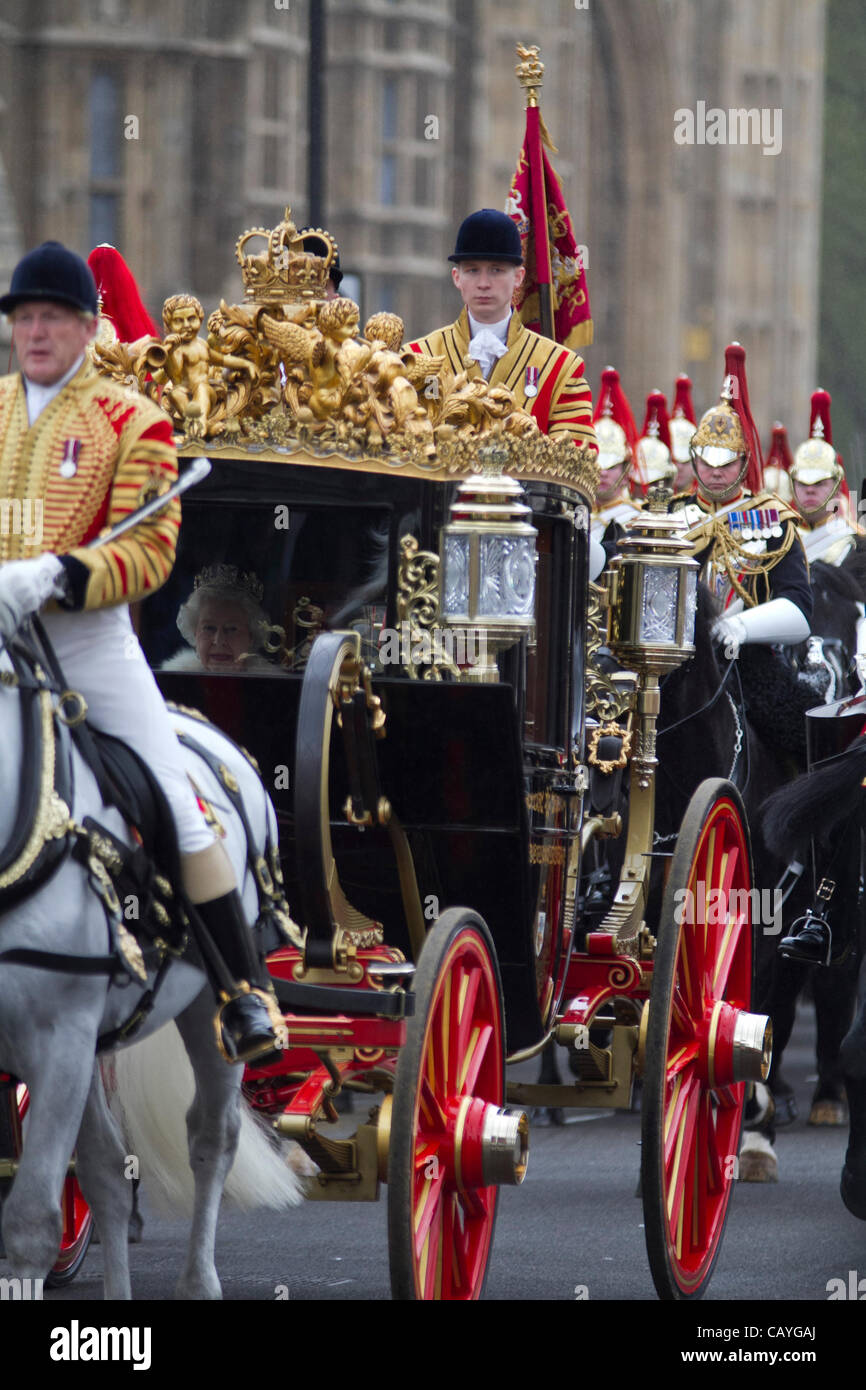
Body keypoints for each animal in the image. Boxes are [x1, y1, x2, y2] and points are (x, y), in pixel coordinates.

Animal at [0, 642, 301, 1301]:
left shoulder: (58, 1037)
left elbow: (30, 1223)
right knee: (108, 1170)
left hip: (208, 1011)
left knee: (211, 1136)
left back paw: (199, 1282)